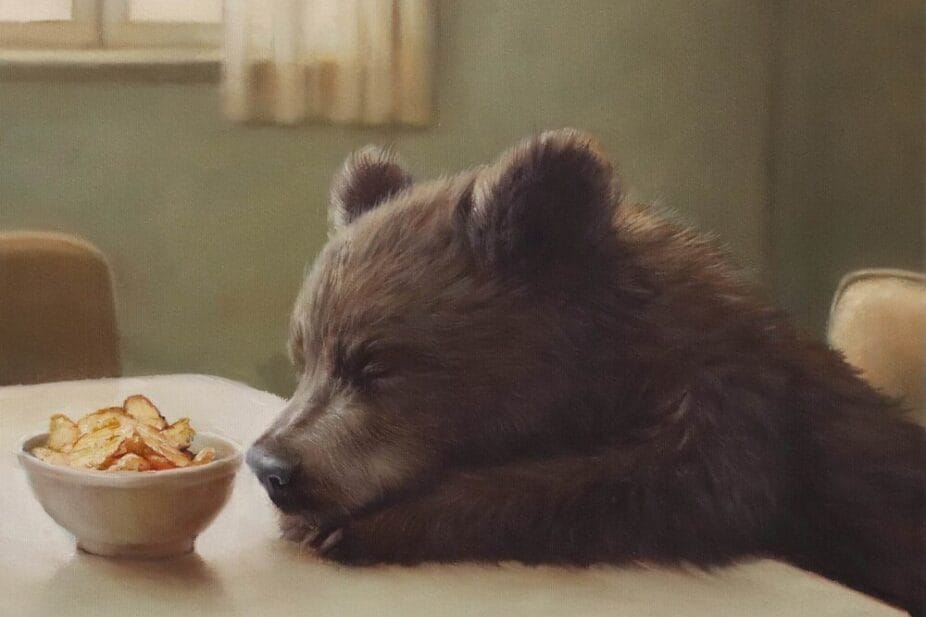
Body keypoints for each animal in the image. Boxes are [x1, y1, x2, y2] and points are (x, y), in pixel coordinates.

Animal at [248, 130, 925, 616]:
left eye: (374, 363)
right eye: (304, 356)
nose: (269, 465)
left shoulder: (731, 417)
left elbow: (627, 485)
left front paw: (361, 526)